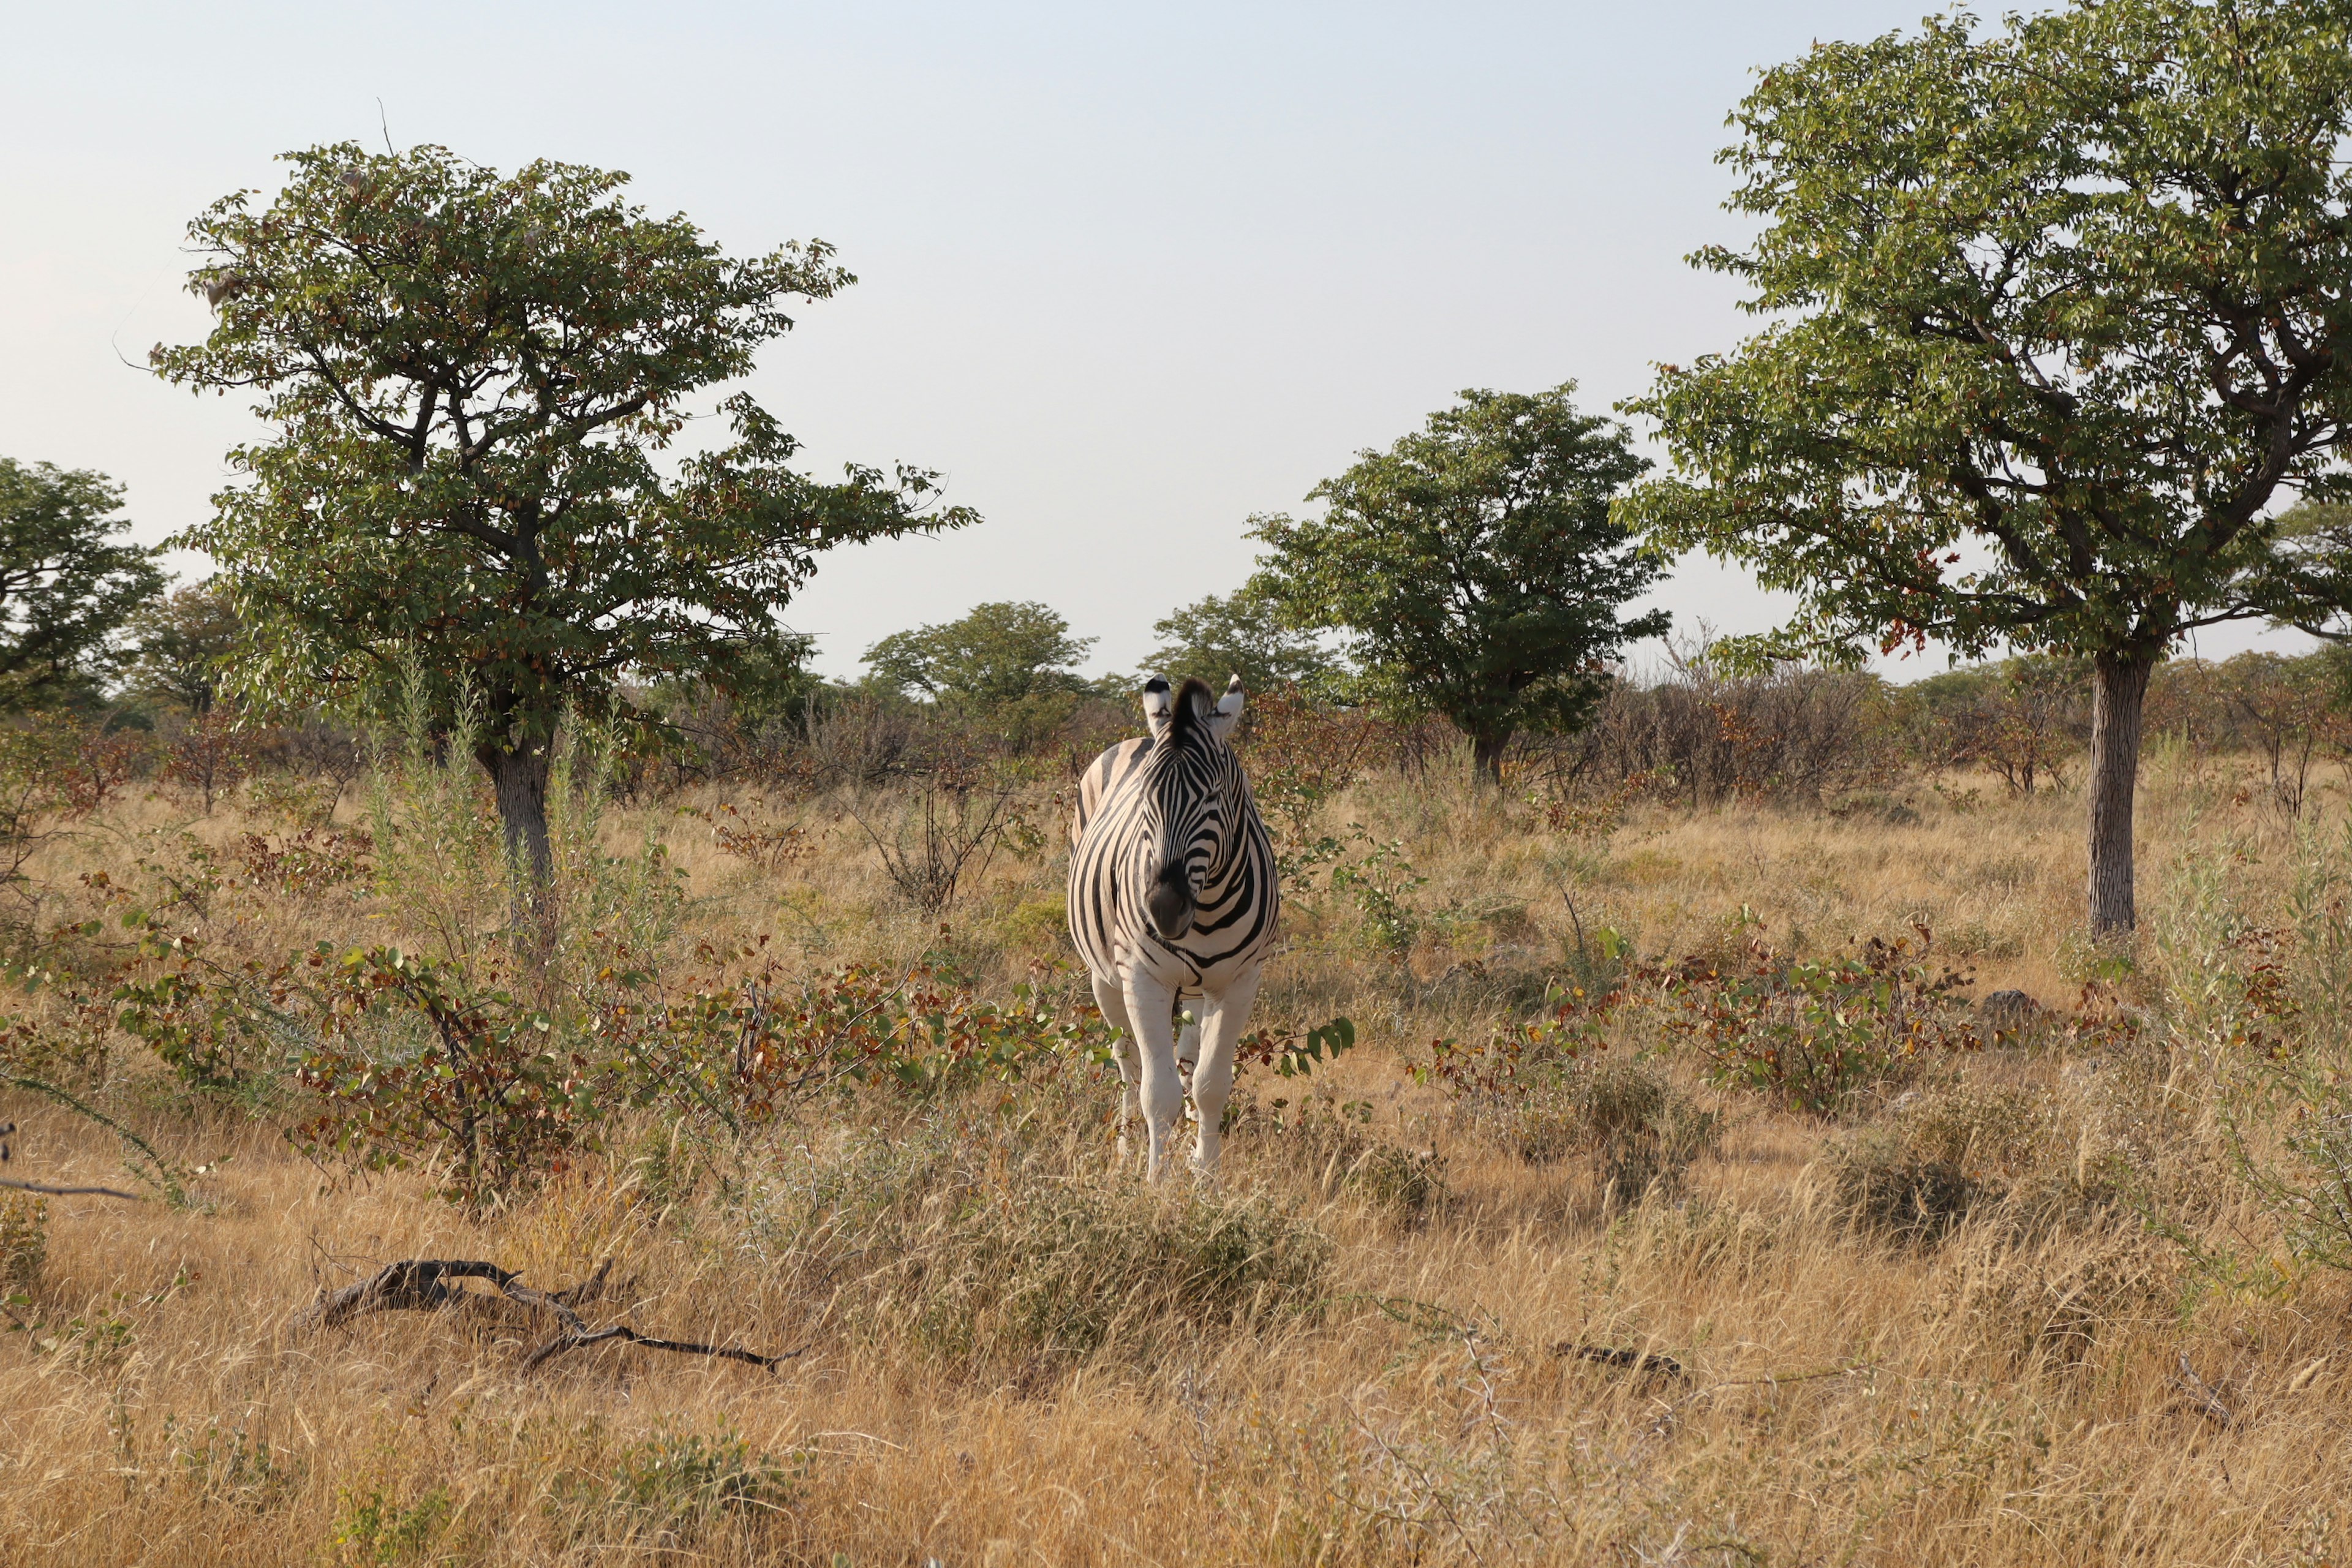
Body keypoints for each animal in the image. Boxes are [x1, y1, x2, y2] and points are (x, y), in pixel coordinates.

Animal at [1072, 672, 1279, 1175]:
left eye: (1213, 796)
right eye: (1144, 799)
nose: (1164, 910)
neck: (1206, 910)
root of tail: (1141, 737)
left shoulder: (1240, 983)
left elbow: (1209, 1086)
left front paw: (1205, 1175)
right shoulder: (1144, 979)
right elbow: (1157, 1092)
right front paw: (1156, 1182)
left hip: (1200, 991)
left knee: (1187, 1060)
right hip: (1104, 978)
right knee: (1127, 1065)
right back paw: (1127, 1146)